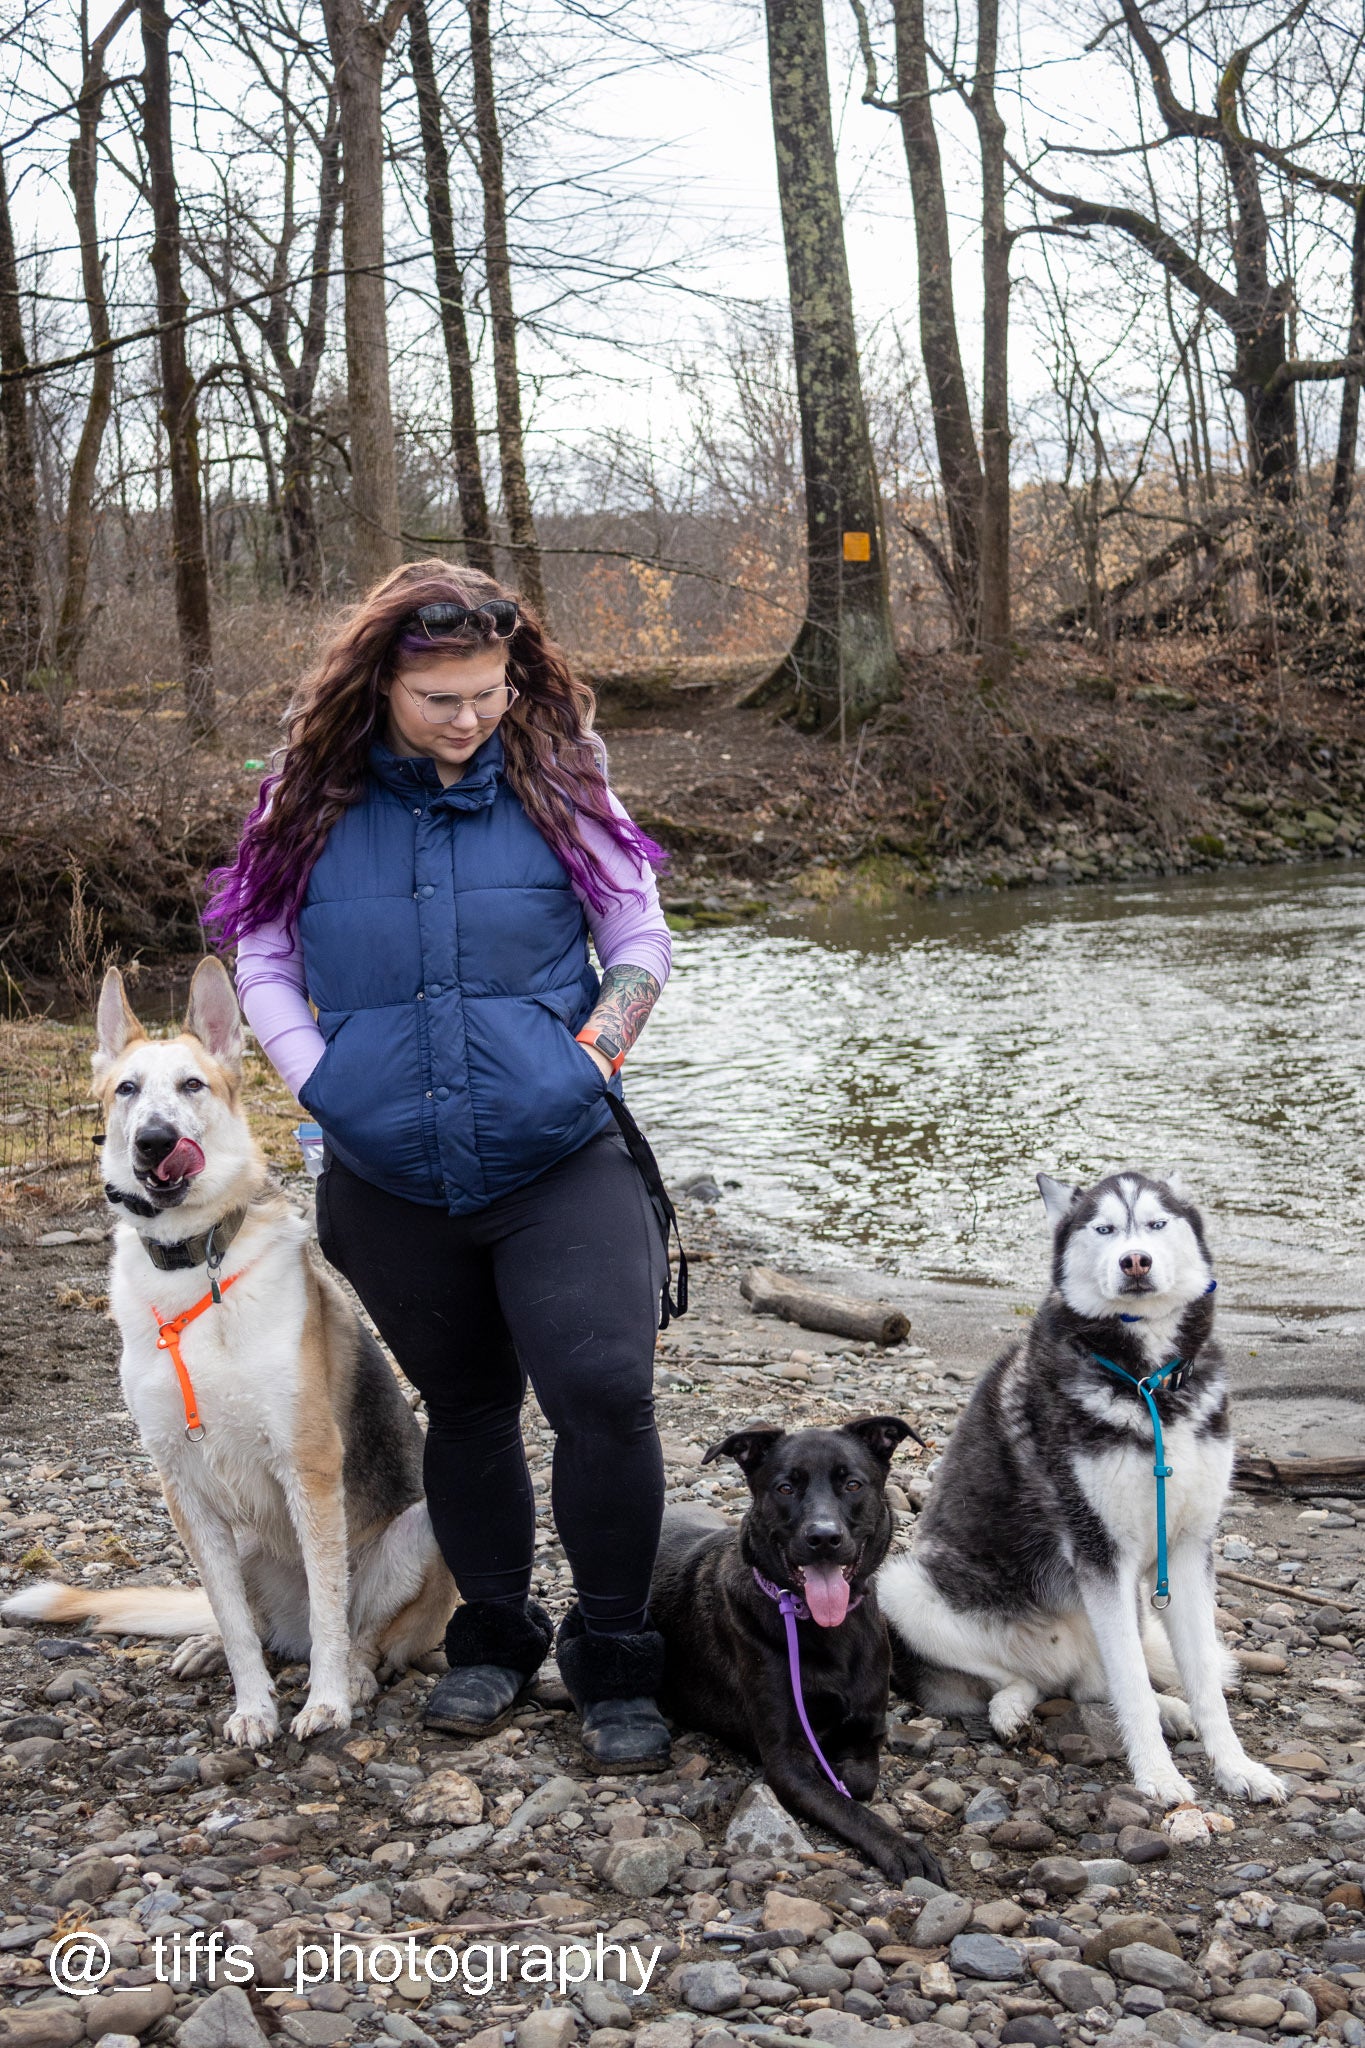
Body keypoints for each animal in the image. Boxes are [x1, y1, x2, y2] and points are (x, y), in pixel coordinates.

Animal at [650, 1417, 945, 1875]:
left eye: (853, 1485)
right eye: (785, 1488)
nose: (823, 1538)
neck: (826, 1627)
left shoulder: (867, 1729)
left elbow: (859, 1782)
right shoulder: (787, 1761)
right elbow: (846, 1804)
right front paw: (899, 1845)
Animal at [879, 1171, 1285, 1810]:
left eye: (1156, 1223)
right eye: (1105, 1228)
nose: (1135, 1260)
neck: (1148, 1383)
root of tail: (1054, 1657)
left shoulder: (1188, 1549)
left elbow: (1203, 1684)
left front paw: (1236, 1767)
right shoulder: (1100, 1553)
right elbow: (1131, 1688)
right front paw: (1158, 1776)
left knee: (1096, 1686)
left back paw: (1163, 1708)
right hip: (899, 1586)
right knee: (1024, 1680)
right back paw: (1012, 1706)